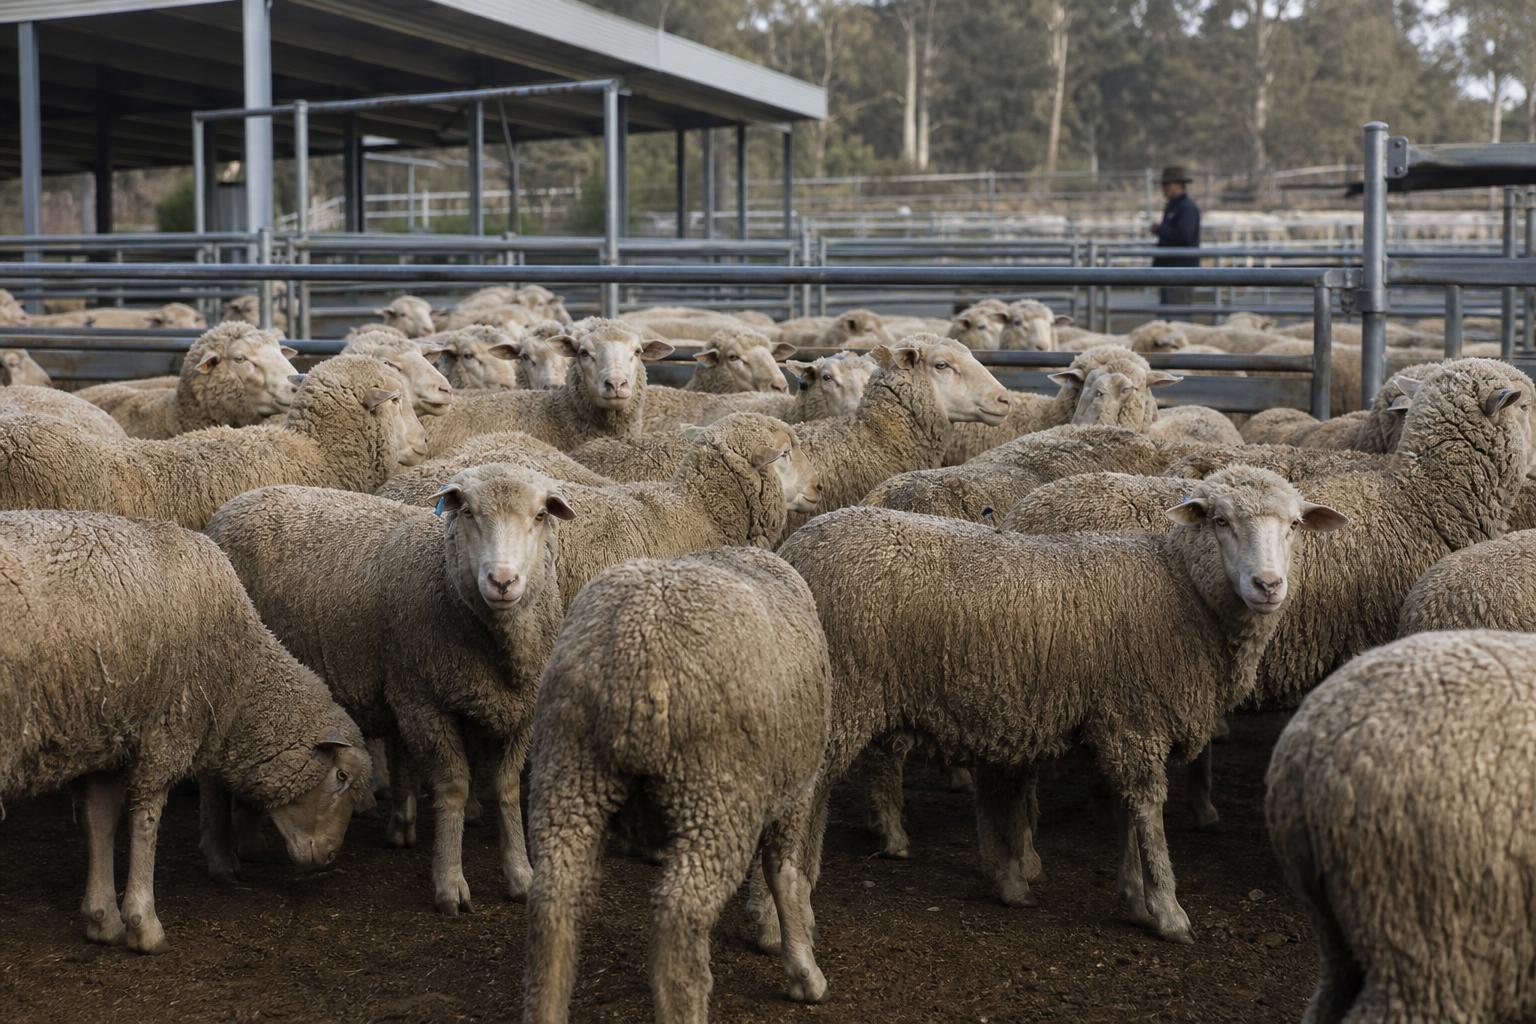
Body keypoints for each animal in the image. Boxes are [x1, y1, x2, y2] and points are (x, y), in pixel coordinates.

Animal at [1, 510, 372, 953]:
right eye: (341, 776)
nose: (330, 857)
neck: (239, 675)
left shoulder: (110, 734)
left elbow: (100, 819)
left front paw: (101, 918)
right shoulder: (167, 730)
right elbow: (146, 823)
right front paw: (143, 923)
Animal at [205, 465, 572, 913]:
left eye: (540, 515)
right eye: (467, 512)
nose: (502, 581)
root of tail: (233, 506)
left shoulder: (519, 712)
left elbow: (506, 791)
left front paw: (521, 876)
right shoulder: (421, 699)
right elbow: (453, 788)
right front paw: (450, 885)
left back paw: (250, 841)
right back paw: (221, 858)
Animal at [524, 547, 832, 1020]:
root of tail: (638, 648)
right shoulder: (795, 791)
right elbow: (785, 875)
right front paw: (804, 971)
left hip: (569, 773)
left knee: (553, 903)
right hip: (716, 792)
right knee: (680, 921)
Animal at [778, 467, 1345, 942]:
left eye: (1295, 525)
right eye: (1221, 521)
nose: (1267, 585)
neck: (1182, 588)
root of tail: (795, 548)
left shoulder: (1119, 717)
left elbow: (1124, 808)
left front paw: (1134, 898)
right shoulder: (1137, 719)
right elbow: (1147, 810)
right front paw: (1167, 910)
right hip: (840, 698)